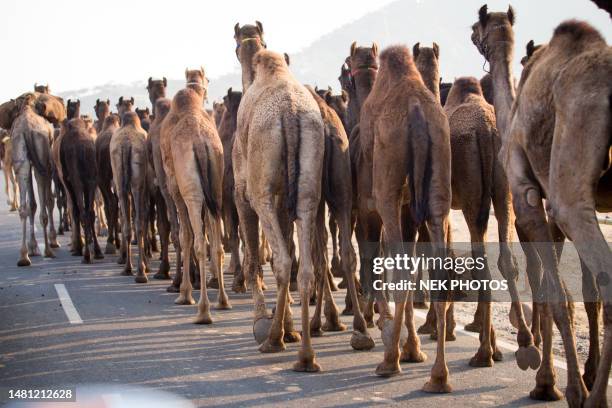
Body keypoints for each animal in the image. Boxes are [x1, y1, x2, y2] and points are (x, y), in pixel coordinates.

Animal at [60, 118, 103, 262]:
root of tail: (83, 150)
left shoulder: (68, 181)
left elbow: (75, 210)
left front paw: (78, 248)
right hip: (92, 179)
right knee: (90, 212)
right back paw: (97, 251)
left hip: (77, 181)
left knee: (83, 212)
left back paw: (86, 255)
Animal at [159, 68, 231, 320]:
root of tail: (200, 143)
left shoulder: (175, 188)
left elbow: (184, 236)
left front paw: (184, 293)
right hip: (215, 189)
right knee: (217, 246)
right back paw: (223, 301)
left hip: (192, 193)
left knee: (199, 242)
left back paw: (202, 311)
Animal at [364, 45, 454, 396]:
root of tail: (416, 109)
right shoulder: (410, 210)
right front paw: (413, 347)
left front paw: (398, 340)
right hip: (439, 177)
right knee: (440, 268)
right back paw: (438, 377)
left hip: (387, 185)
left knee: (399, 264)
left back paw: (389, 360)